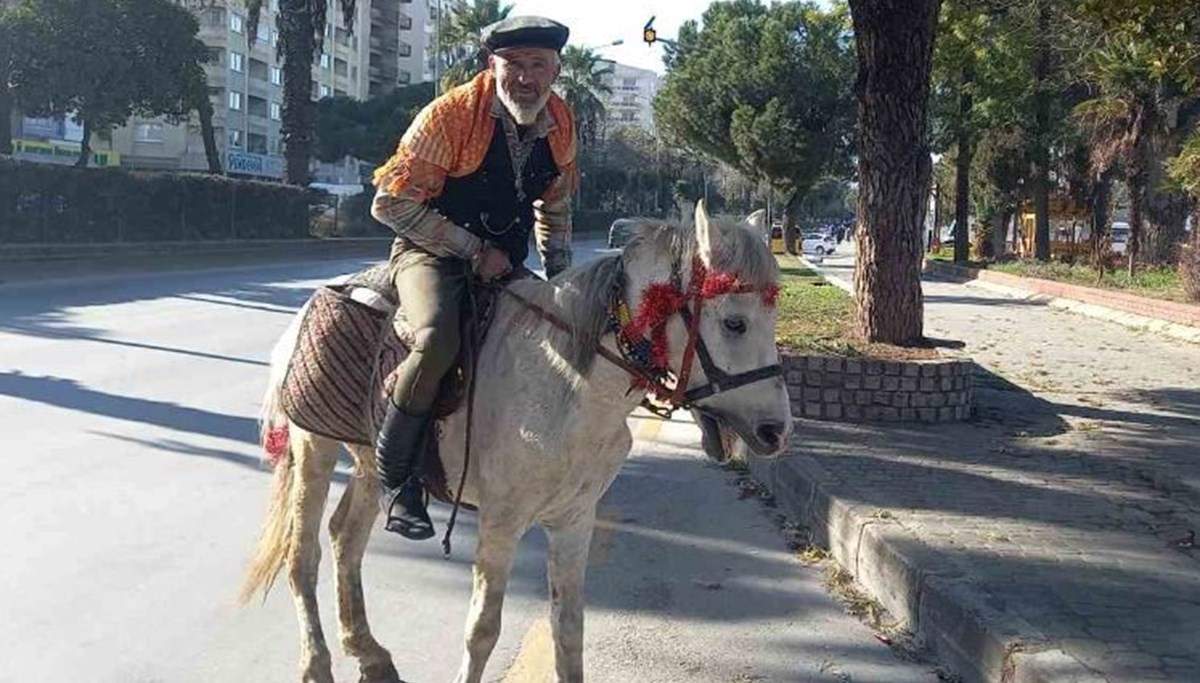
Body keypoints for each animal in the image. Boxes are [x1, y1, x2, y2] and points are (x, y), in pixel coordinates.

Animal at [238, 202, 792, 681]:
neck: (570, 384)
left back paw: (370, 653)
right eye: (734, 322)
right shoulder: (501, 523)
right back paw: (317, 664)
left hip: (371, 464)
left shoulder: (573, 521)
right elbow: (482, 630)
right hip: (314, 448)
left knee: (345, 539)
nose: (776, 431)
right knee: (303, 557)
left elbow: (568, 630)